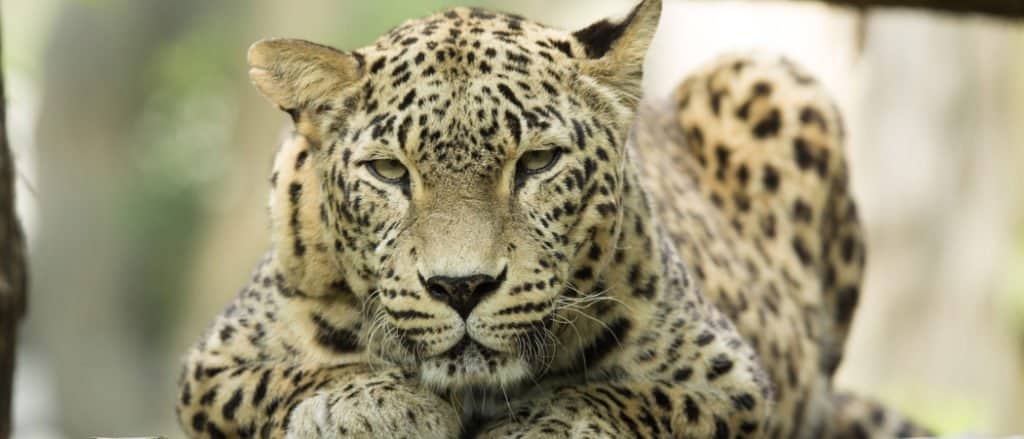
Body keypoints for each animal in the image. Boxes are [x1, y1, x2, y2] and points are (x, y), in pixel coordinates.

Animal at [175, 1, 932, 437]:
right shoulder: (211, 365)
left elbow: (631, 397)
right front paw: (376, 407)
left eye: (536, 162)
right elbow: (289, 377)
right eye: (389, 172)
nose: (461, 288)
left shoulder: (734, 380)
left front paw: (545, 422)